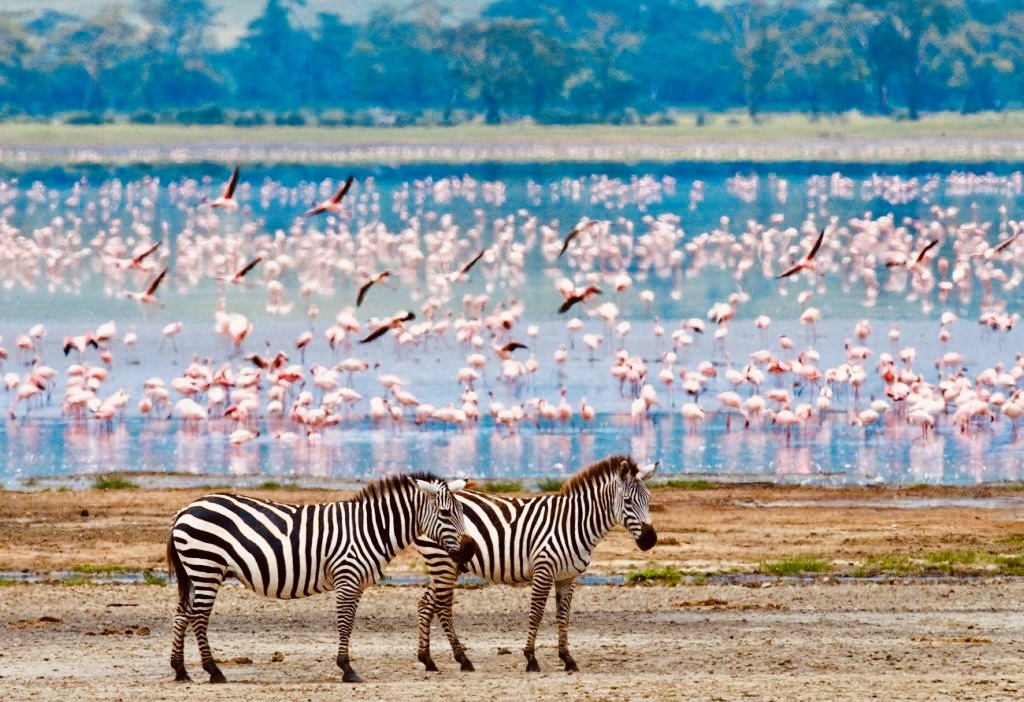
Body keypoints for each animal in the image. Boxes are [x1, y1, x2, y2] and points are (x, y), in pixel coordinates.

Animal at [166, 474, 475, 683]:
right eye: (446, 513)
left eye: (463, 512)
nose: (469, 550)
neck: (370, 528)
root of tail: (186, 508)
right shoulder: (347, 577)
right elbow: (345, 623)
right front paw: (347, 669)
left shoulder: (357, 584)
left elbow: (349, 623)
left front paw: (345, 665)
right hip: (206, 566)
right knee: (198, 618)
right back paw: (213, 671)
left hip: (195, 571)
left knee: (182, 614)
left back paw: (180, 670)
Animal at [413, 456, 659, 675]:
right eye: (627, 501)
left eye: (648, 499)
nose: (650, 540)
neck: (574, 523)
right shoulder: (544, 570)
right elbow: (537, 613)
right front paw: (531, 658)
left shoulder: (567, 577)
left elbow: (563, 616)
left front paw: (567, 658)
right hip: (442, 561)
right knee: (443, 607)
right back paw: (463, 659)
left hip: (450, 565)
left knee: (426, 604)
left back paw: (427, 659)